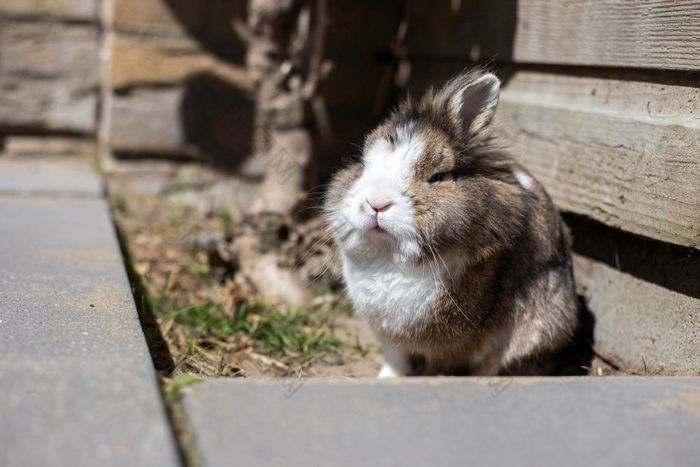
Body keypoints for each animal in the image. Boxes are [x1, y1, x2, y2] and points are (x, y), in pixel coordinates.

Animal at [326, 68, 576, 376]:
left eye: (438, 177)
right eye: (363, 164)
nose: (376, 203)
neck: (391, 258)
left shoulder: (450, 344)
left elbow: (440, 363)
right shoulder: (389, 335)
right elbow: (395, 359)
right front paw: (386, 378)